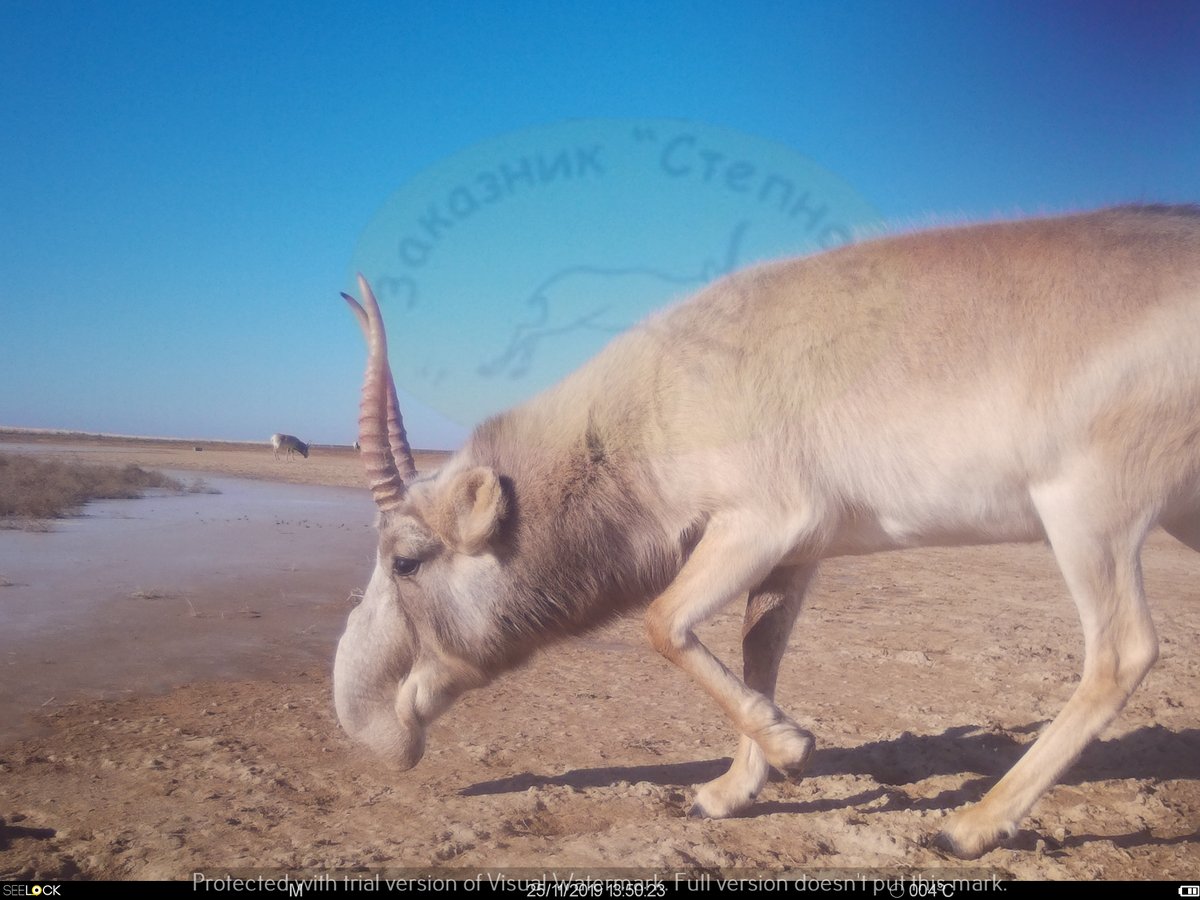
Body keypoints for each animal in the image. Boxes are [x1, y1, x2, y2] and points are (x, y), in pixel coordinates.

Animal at [333, 205, 1200, 859]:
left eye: (405, 560)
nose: (367, 726)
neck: (644, 404)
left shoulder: (765, 521)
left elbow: (662, 623)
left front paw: (791, 749)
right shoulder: (796, 553)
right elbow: (758, 650)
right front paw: (729, 792)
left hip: (1087, 514)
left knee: (1121, 652)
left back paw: (973, 825)